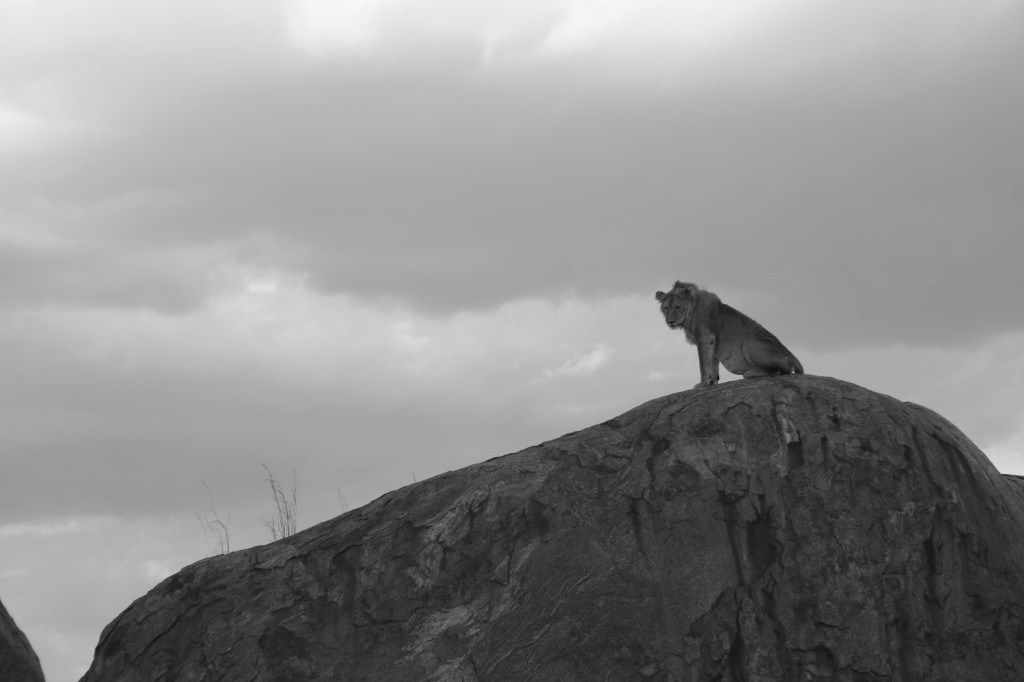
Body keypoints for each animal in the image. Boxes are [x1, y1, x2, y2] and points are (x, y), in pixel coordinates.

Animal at [655, 281, 804, 388]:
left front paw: (702, 383)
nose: (670, 321)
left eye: (677, 307)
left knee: (780, 371)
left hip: (750, 344)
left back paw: (751, 373)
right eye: (666, 308)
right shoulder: (712, 342)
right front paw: (712, 382)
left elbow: (703, 364)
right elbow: (712, 363)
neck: (690, 313)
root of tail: (794, 357)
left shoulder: (704, 338)